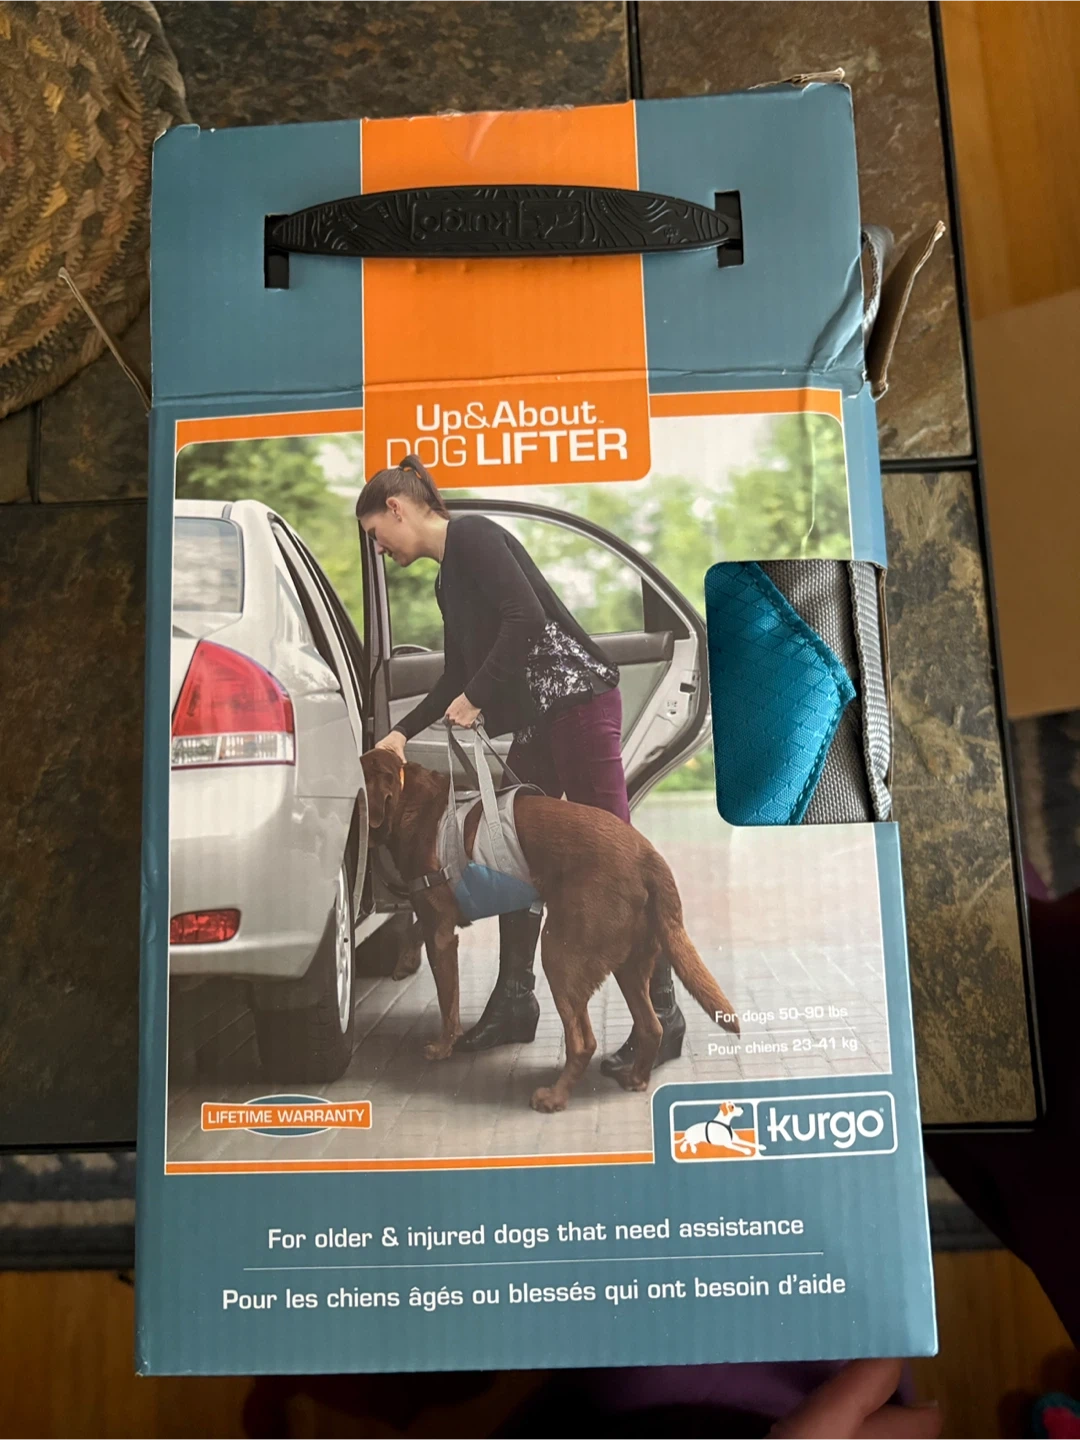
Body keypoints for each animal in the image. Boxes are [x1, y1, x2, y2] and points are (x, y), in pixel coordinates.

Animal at [361, 749, 739, 1113]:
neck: (408, 798)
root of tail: (651, 858)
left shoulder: (441, 931)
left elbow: (446, 1001)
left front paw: (442, 1046)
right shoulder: (434, 918)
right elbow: (414, 928)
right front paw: (404, 962)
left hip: (561, 953)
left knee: (584, 1042)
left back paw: (554, 1098)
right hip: (630, 961)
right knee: (651, 1027)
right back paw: (635, 1078)